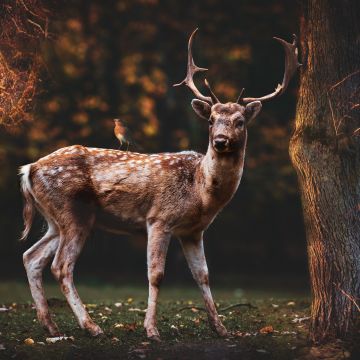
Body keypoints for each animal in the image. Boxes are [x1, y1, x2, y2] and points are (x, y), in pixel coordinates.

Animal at [19, 28, 300, 340]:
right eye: (211, 120)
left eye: (240, 121)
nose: (220, 141)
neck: (200, 192)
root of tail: (28, 169)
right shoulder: (159, 219)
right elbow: (156, 274)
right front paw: (151, 330)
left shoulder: (193, 231)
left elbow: (203, 274)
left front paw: (220, 328)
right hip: (73, 213)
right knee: (61, 266)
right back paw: (91, 327)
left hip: (56, 219)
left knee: (32, 256)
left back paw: (50, 325)